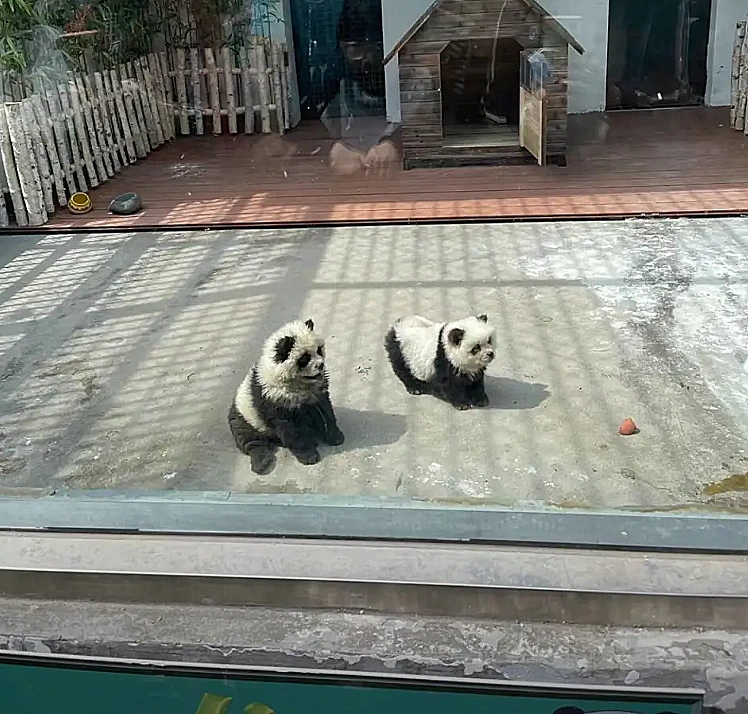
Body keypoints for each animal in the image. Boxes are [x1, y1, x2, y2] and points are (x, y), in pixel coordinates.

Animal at [228, 319, 345, 475]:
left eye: (319, 350)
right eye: (304, 358)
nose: (320, 365)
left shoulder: (317, 392)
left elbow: (325, 411)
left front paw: (335, 436)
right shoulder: (275, 398)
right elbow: (290, 429)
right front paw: (308, 456)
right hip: (245, 417)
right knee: (249, 440)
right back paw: (262, 461)